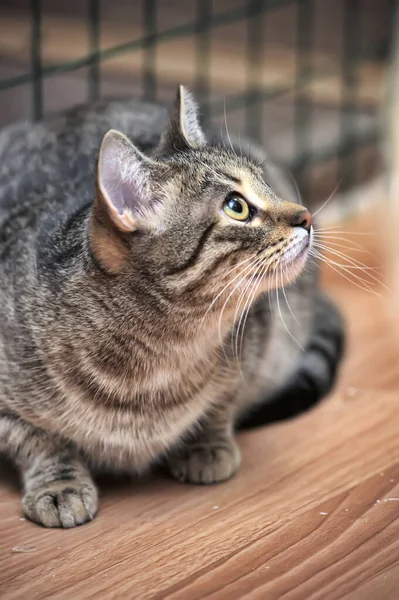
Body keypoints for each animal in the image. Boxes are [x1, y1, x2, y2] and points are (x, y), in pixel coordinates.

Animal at [0, 86, 344, 528]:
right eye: (236, 206)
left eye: (265, 182)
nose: (307, 216)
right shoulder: (7, 407)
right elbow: (37, 440)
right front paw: (58, 484)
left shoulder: (251, 345)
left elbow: (221, 402)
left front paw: (207, 444)